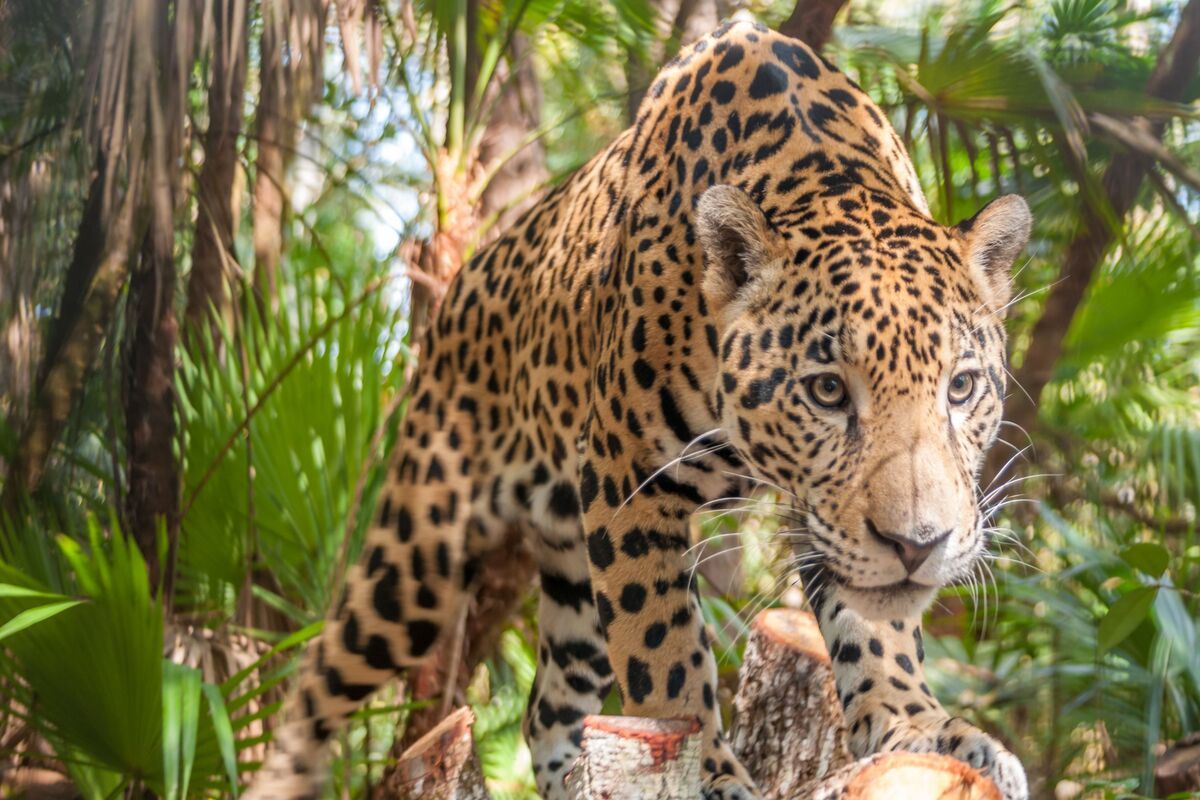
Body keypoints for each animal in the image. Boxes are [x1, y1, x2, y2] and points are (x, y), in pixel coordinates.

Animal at [246, 19, 1032, 800]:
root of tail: (460, 285)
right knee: (320, 674)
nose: (918, 546)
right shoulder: (630, 484)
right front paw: (706, 773)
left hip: (571, 567)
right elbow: (664, 649)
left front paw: (921, 727)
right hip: (419, 553)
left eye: (960, 388)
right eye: (828, 391)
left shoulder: (820, 520)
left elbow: (877, 626)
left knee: (545, 706)